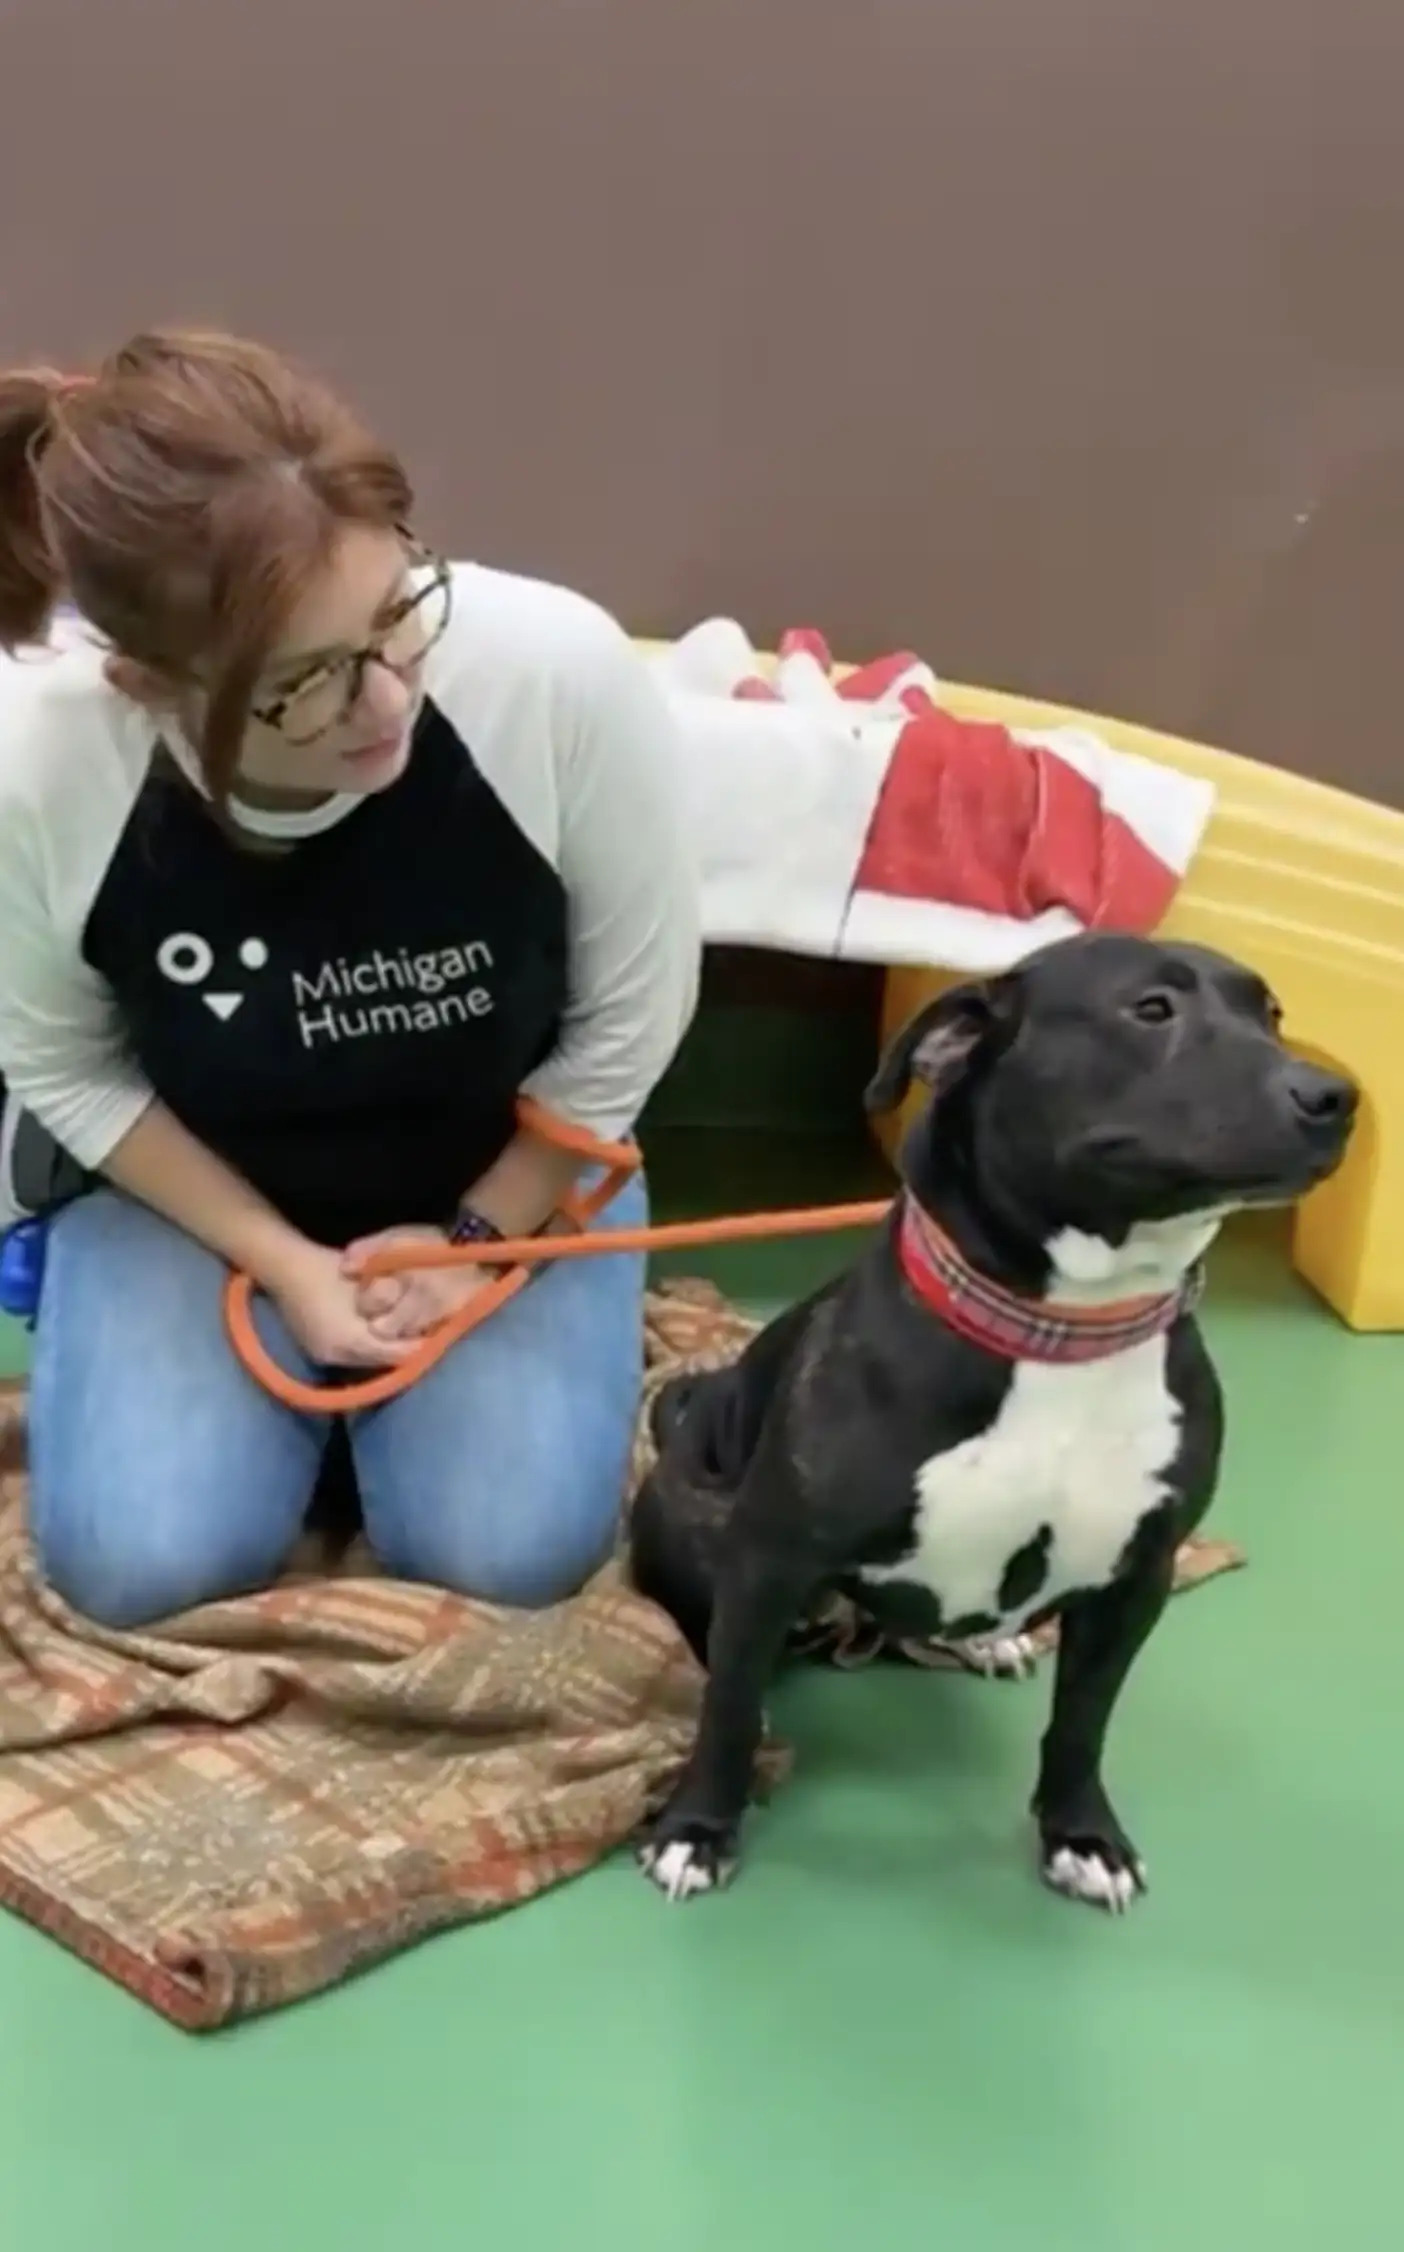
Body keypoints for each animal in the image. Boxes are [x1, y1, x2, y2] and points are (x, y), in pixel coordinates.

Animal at [631, 936, 1361, 1918]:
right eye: (1152, 1010)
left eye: (1272, 1014)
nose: (1334, 1096)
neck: (1066, 1329)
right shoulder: (770, 1555)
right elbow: (730, 1709)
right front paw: (699, 1828)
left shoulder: (1136, 1580)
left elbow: (1083, 1722)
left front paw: (1082, 1837)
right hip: (695, 1514)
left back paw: (989, 1636)